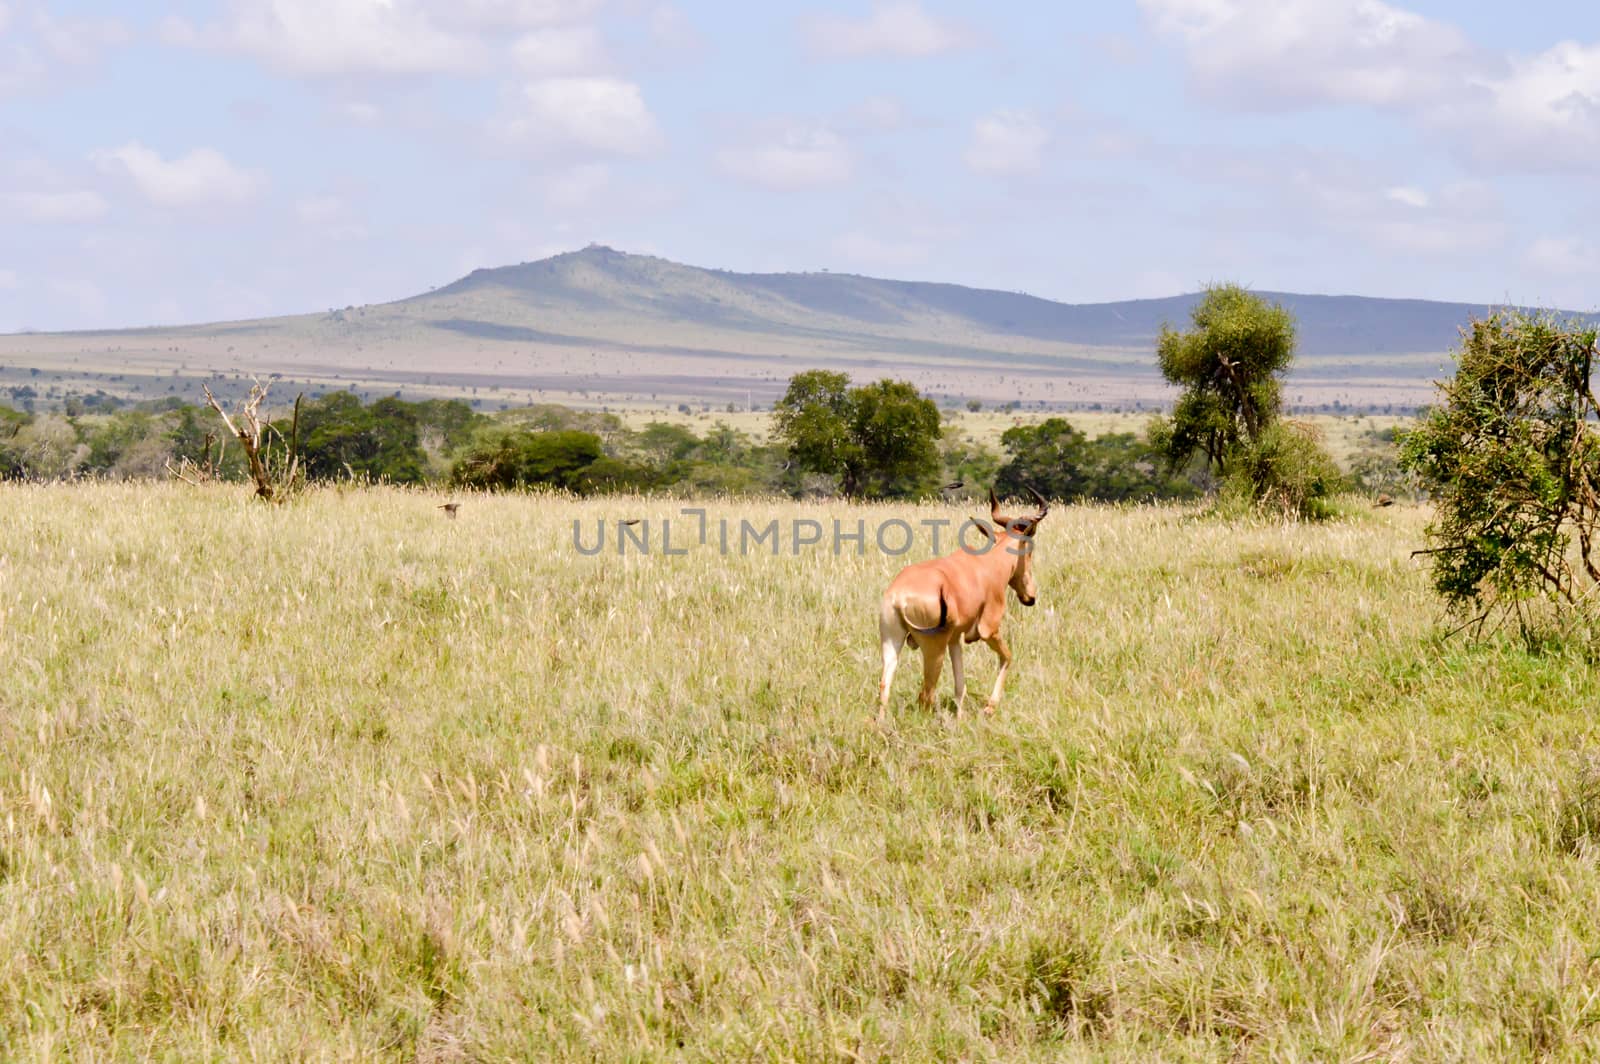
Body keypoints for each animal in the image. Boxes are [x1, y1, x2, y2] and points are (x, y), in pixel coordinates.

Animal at [876, 483, 1049, 716]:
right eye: (1029, 550)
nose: (1030, 596)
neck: (986, 563)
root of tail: (899, 598)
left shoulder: (955, 638)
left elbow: (960, 685)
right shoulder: (989, 630)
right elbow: (1007, 656)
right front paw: (989, 707)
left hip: (892, 639)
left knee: (884, 688)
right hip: (933, 648)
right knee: (926, 694)